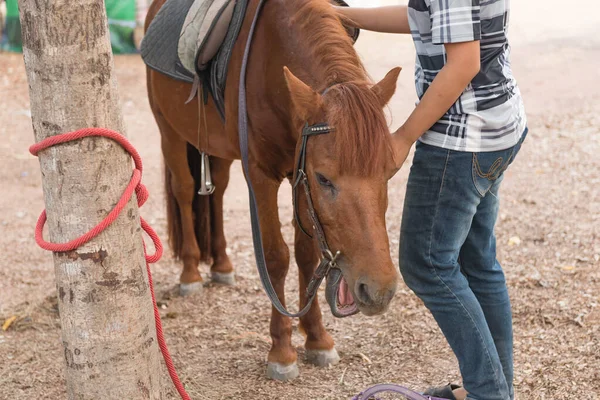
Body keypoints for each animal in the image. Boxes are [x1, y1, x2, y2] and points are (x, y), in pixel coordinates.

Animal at [147, 0, 406, 380]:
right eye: (324, 179)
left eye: (389, 172)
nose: (378, 290)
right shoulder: (262, 175)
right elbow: (275, 258)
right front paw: (282, 351)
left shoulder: (299, 174)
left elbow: (306, 255)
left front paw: (317, 338)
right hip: (168, 130)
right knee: (183, 189)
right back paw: (191, 272)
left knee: (217, 192)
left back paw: (221, 264)